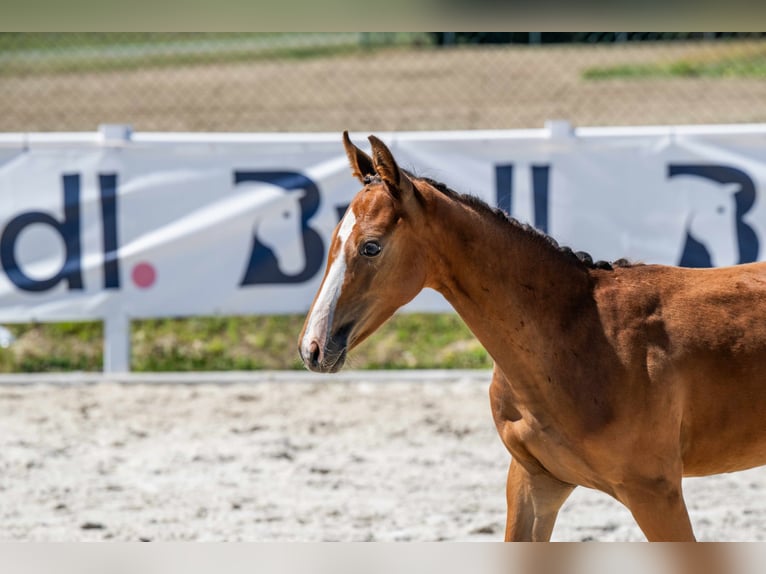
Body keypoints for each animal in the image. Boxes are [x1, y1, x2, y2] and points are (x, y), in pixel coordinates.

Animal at [298, 132, 766, 541]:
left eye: (371, 246)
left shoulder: (654, 491)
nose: (312, 348)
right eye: (331, 241)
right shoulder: (534, 481)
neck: (577, 336)